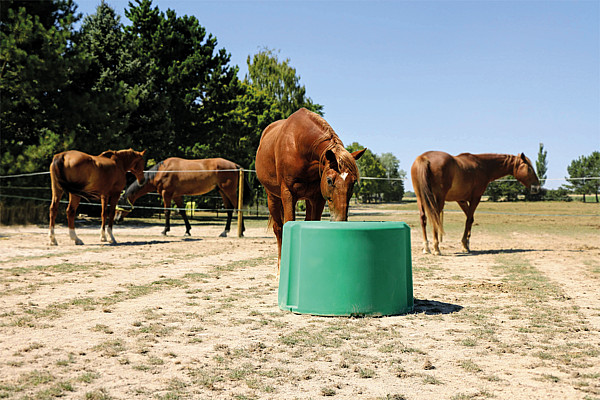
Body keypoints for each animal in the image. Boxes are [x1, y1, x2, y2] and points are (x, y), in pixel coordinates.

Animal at [114, 156, 251, 238]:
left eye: (120, 204)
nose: (116, 219)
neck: (161, 171)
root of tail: (235, 165)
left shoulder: (166, 194)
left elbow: (167, 212)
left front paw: (165, 230)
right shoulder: (177, 196)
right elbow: (183, 212)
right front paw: (187, 231)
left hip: (229, 191)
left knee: (238, 208)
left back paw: (242, 231)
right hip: (222, 191)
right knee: (229, 210)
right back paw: (224, 232)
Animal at [254, 108, 366, 268]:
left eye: (353, 182)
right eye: (329, 180)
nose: (340, 220)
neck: (298, 145)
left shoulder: (317, 198)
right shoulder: (288, 194)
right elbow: (287, 224)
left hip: (306, 198)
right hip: (272, 197)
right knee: (278, 229)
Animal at [410, 152, 540, 255]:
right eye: (529, 169)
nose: (537, 187)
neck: (482, 166)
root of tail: (424, 158)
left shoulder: (461, 200)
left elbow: (470, 219)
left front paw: (467, 244)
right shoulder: (475, 198)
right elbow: (468, 220)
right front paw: (464, 245)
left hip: (420, 198)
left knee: (423, 218)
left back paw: (426, 248)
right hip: (438, 199)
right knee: (435, 217)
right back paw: (436, 248)